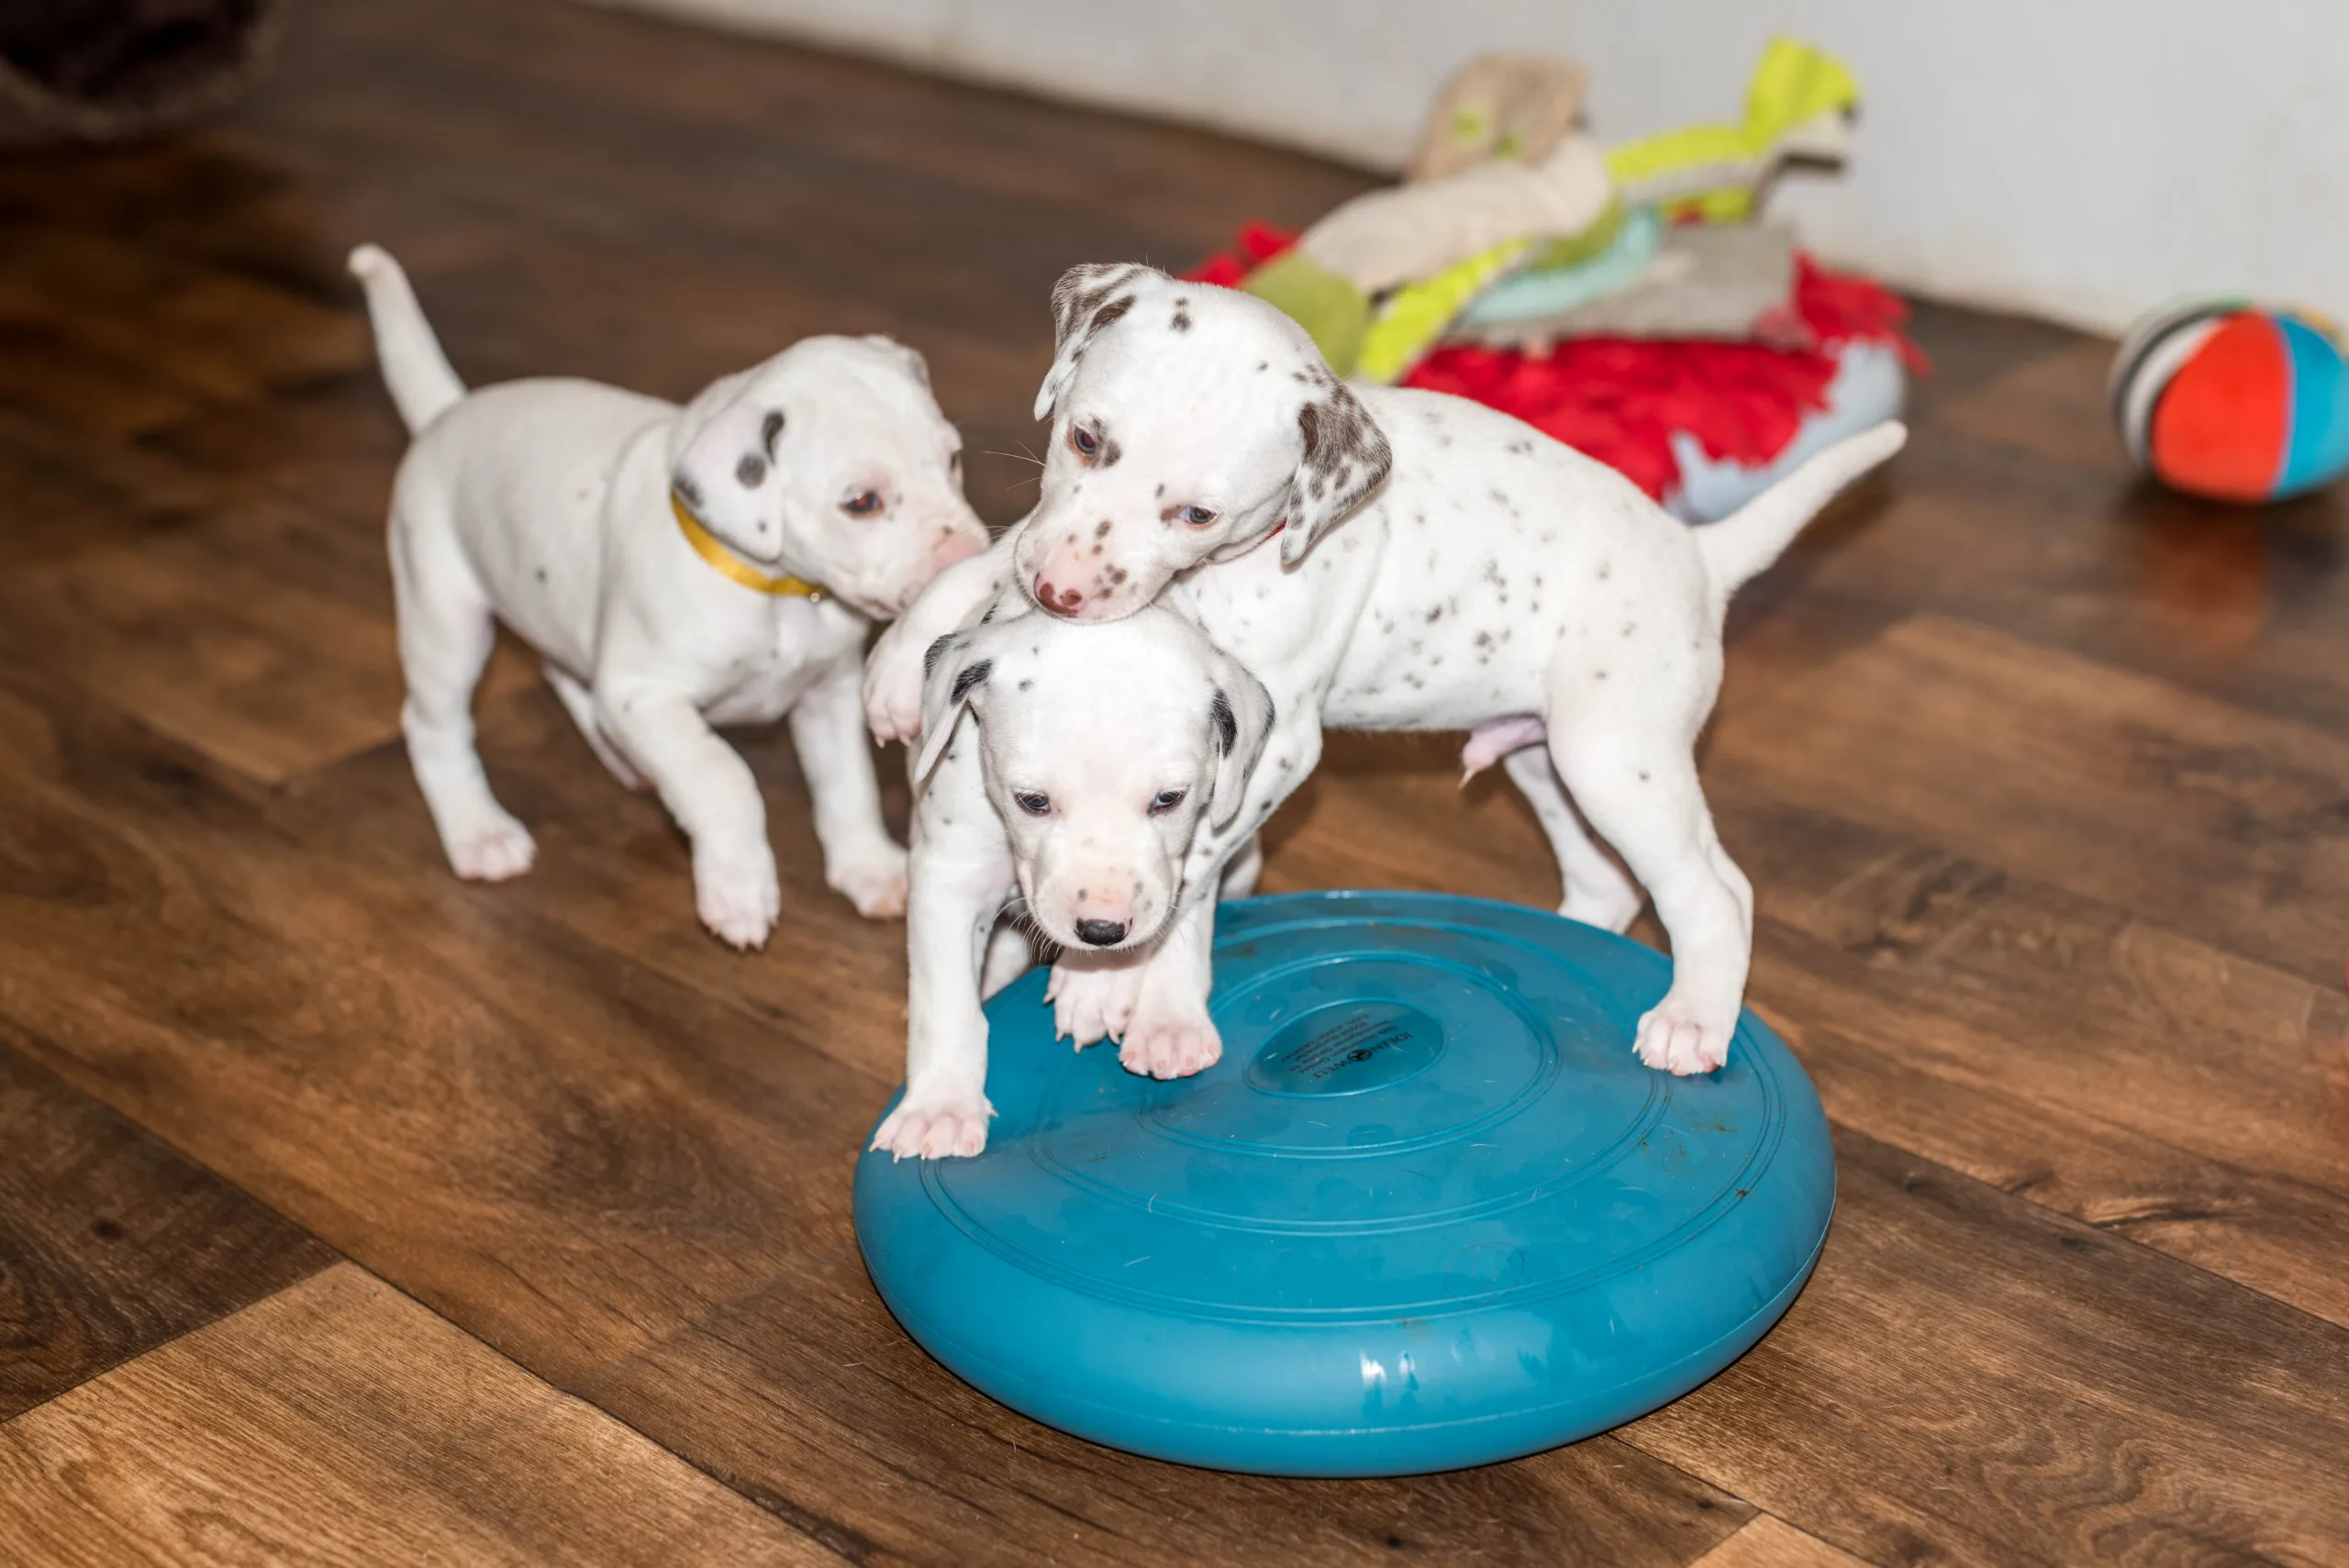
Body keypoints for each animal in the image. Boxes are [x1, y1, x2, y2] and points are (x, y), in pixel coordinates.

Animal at [351, 245, 987, 946]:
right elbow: (721, 775)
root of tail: (445, 415)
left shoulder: (828, 692)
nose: (974, 558)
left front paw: (869, 867)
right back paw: (478, 831)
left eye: (953, 461)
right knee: (435, 725)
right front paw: (738, 886)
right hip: (445, 618)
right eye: (862, 502)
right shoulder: (644, 695)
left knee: (563, 668)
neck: (775, 588)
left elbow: (846, 786)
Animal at [868, 262, 1903, 1076]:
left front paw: (1118, 989)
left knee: (1716, 894)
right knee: (1609, 883)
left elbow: (1188, 865)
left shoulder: (1271, 742)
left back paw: (1694, 1018)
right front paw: (897, 663)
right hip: (1548, 757)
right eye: (1085, 438)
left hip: (1617, 760)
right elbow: (983, 562)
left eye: (1197, 513)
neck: (1256, 551)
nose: (1062, 591)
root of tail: (1696, 555)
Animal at [872, 599, 1273, 1159]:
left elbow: (1182, 918)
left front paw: (1168, 1018)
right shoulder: (948, 881)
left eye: (1168, 799)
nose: (1102, 933)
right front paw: (940, 1107)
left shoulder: (1198, 849)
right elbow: (946, 1002)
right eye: (1032, 801)